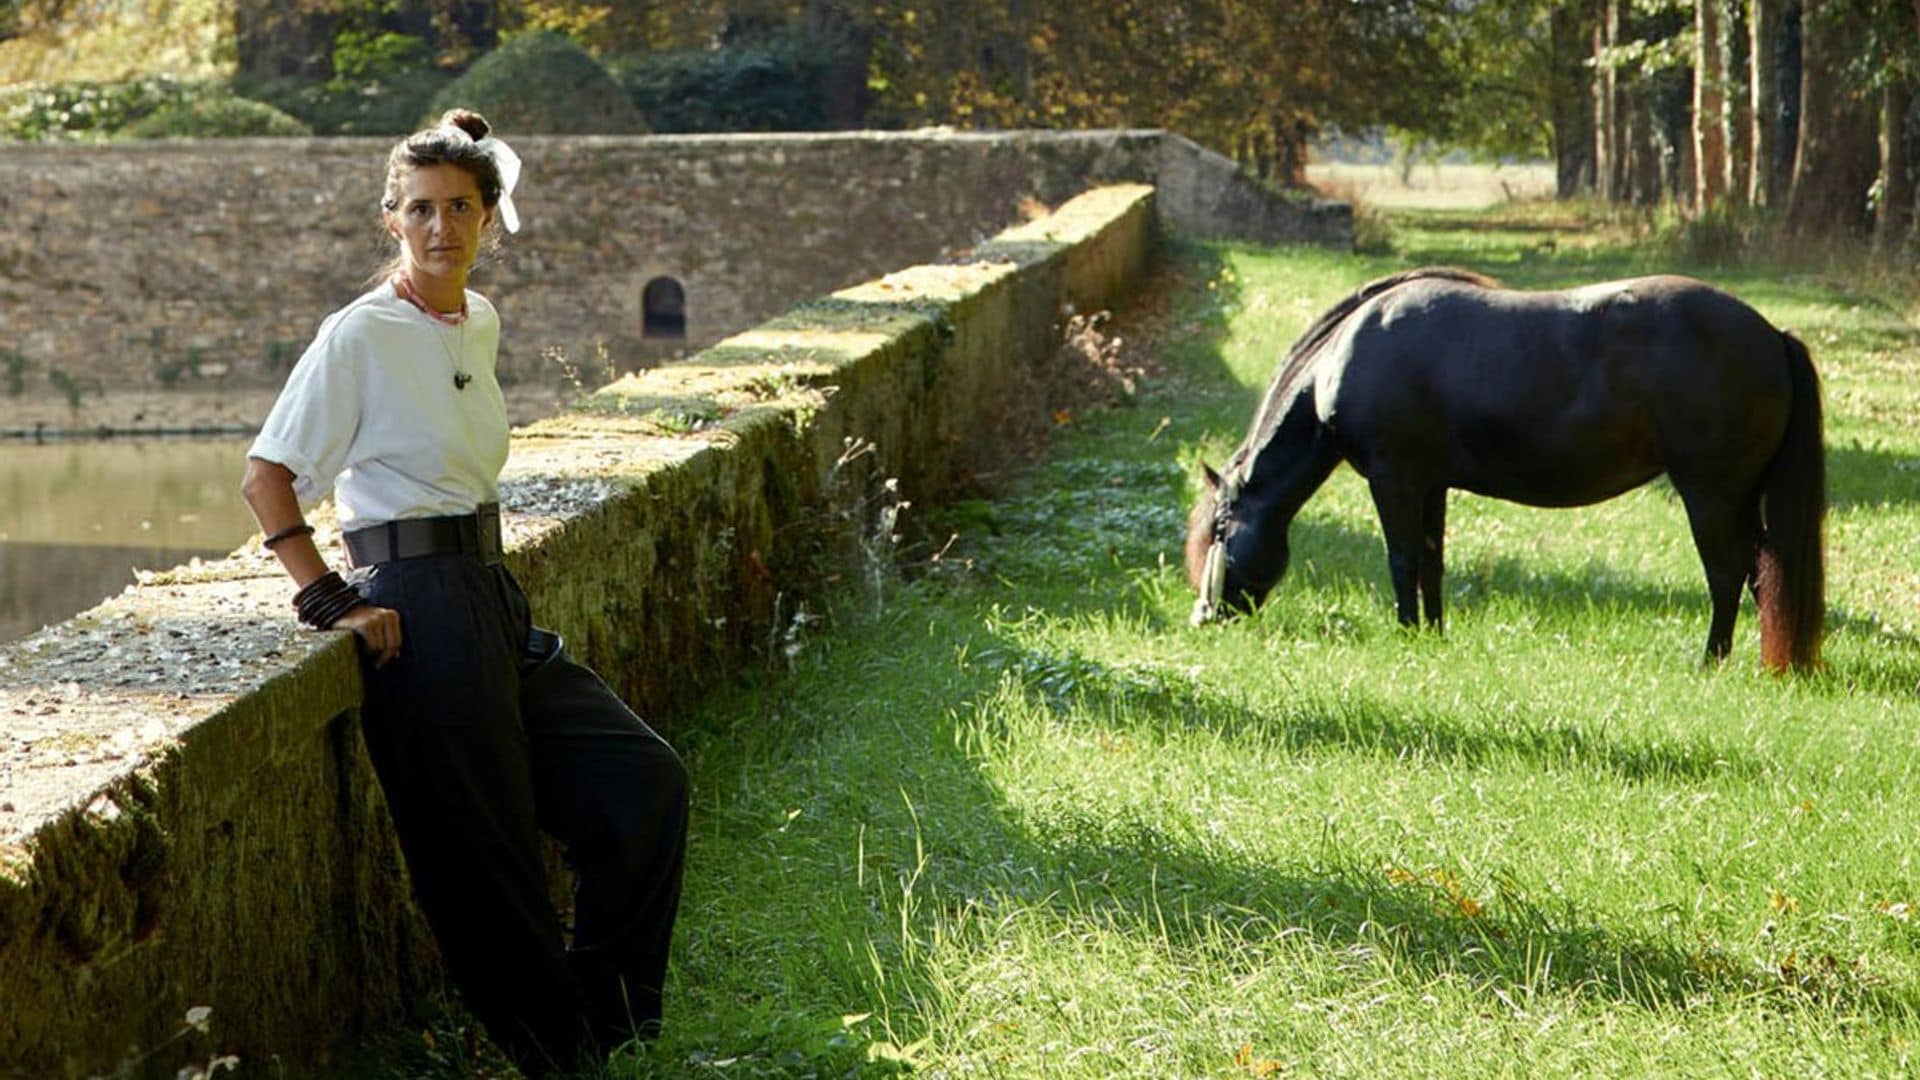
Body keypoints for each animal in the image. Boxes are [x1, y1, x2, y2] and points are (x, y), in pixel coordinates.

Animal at [1182, 267, 1827, 668]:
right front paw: (1432, 634)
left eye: (1221, 529)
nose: (1203, 616)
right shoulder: (1430, 485)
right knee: (1757, 575)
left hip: (1710, 495)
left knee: (1729, 573)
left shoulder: (1395, 481)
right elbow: (1432, 563)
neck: (1349, 354)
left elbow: (1402, 560)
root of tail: (1772, 335)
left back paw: (1711, 660)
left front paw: (1406, 632)